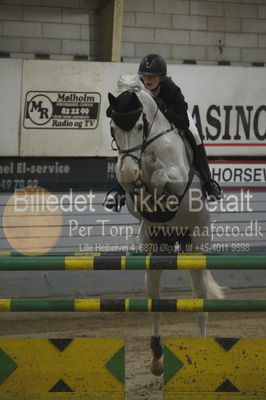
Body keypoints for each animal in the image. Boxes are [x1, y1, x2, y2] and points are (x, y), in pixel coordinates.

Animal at [107, 74, 223, 376]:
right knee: (155, 306)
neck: (147, 146)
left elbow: (161, 178)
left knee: (200, 307)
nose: (130, 171)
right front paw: (141, 193)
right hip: (154, 252)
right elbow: (133, 189)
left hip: (196, 247)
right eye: (113, 127)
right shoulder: (128, 182)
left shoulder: (177, 177)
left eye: (138, 125)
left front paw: (158, 195)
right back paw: (157, 359)